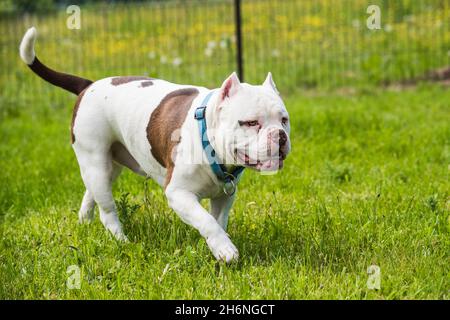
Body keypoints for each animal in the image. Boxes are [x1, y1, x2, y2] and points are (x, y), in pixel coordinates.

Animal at [19, 26, 290, 262]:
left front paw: (219, 246)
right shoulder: (178, 193)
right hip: (95, 161)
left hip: (108, 165)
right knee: (107, 210)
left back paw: (85, 222)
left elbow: (217, 221)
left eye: (284, 120)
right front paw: (225, 250)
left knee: (91, 192)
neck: (208, 139)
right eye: (250, 122)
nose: (280, 136)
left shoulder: (225, 196)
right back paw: (121, 240)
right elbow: (206, 221)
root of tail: (88, 85)